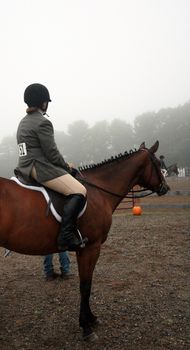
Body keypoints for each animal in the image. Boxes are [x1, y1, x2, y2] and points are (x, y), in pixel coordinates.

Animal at [0, 141, 169, 340]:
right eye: (158, 163)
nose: (166, 188)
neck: (98, 190)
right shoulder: (90, 248)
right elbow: (85, 286)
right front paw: (86, 326)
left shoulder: (85, 249)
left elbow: (85, 284)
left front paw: (91, 319)